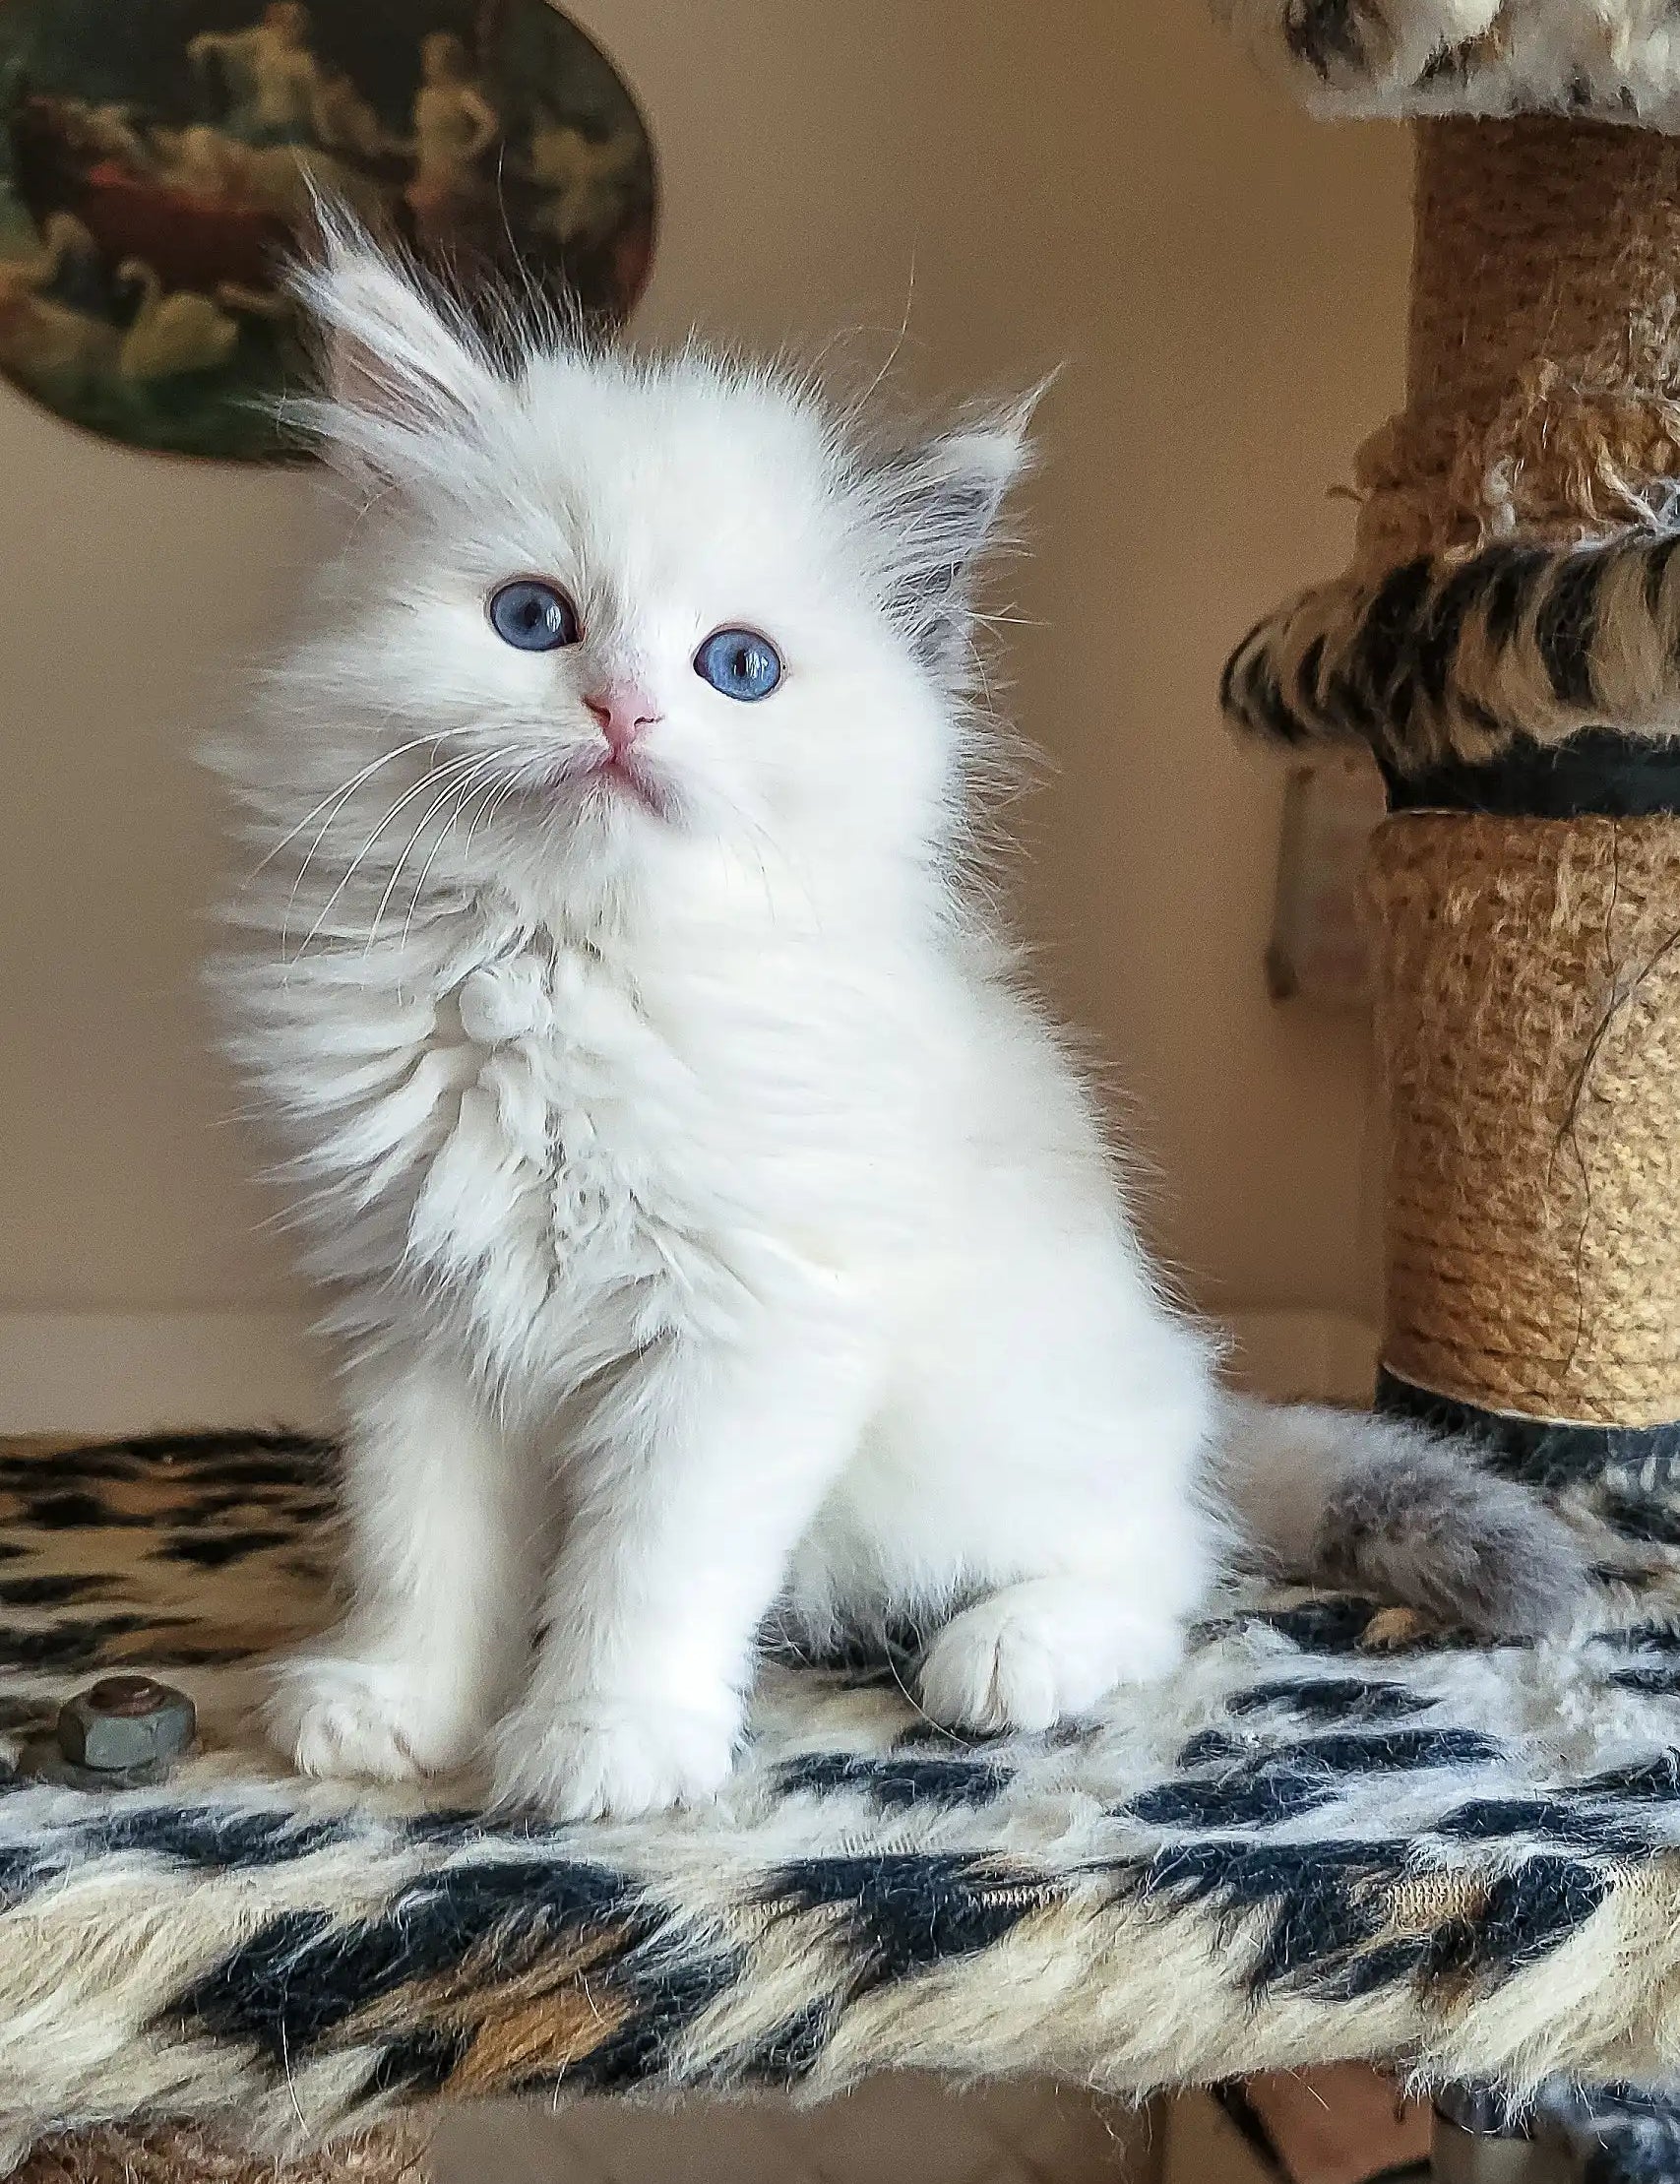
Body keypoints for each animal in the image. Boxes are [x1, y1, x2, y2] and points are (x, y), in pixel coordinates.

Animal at [213, 225, 1589, 1826]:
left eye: (737, 667)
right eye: (532, 619)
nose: (621, 714)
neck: (561, 969)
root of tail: (1188, 1392)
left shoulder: (739, 1329)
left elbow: (649, 1567)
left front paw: (602, 1739)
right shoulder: (415, 1319)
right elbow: (424, 1545)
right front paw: (399, 1700)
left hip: (986, 1444)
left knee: (1171, 1553)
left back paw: (1013, 1647)